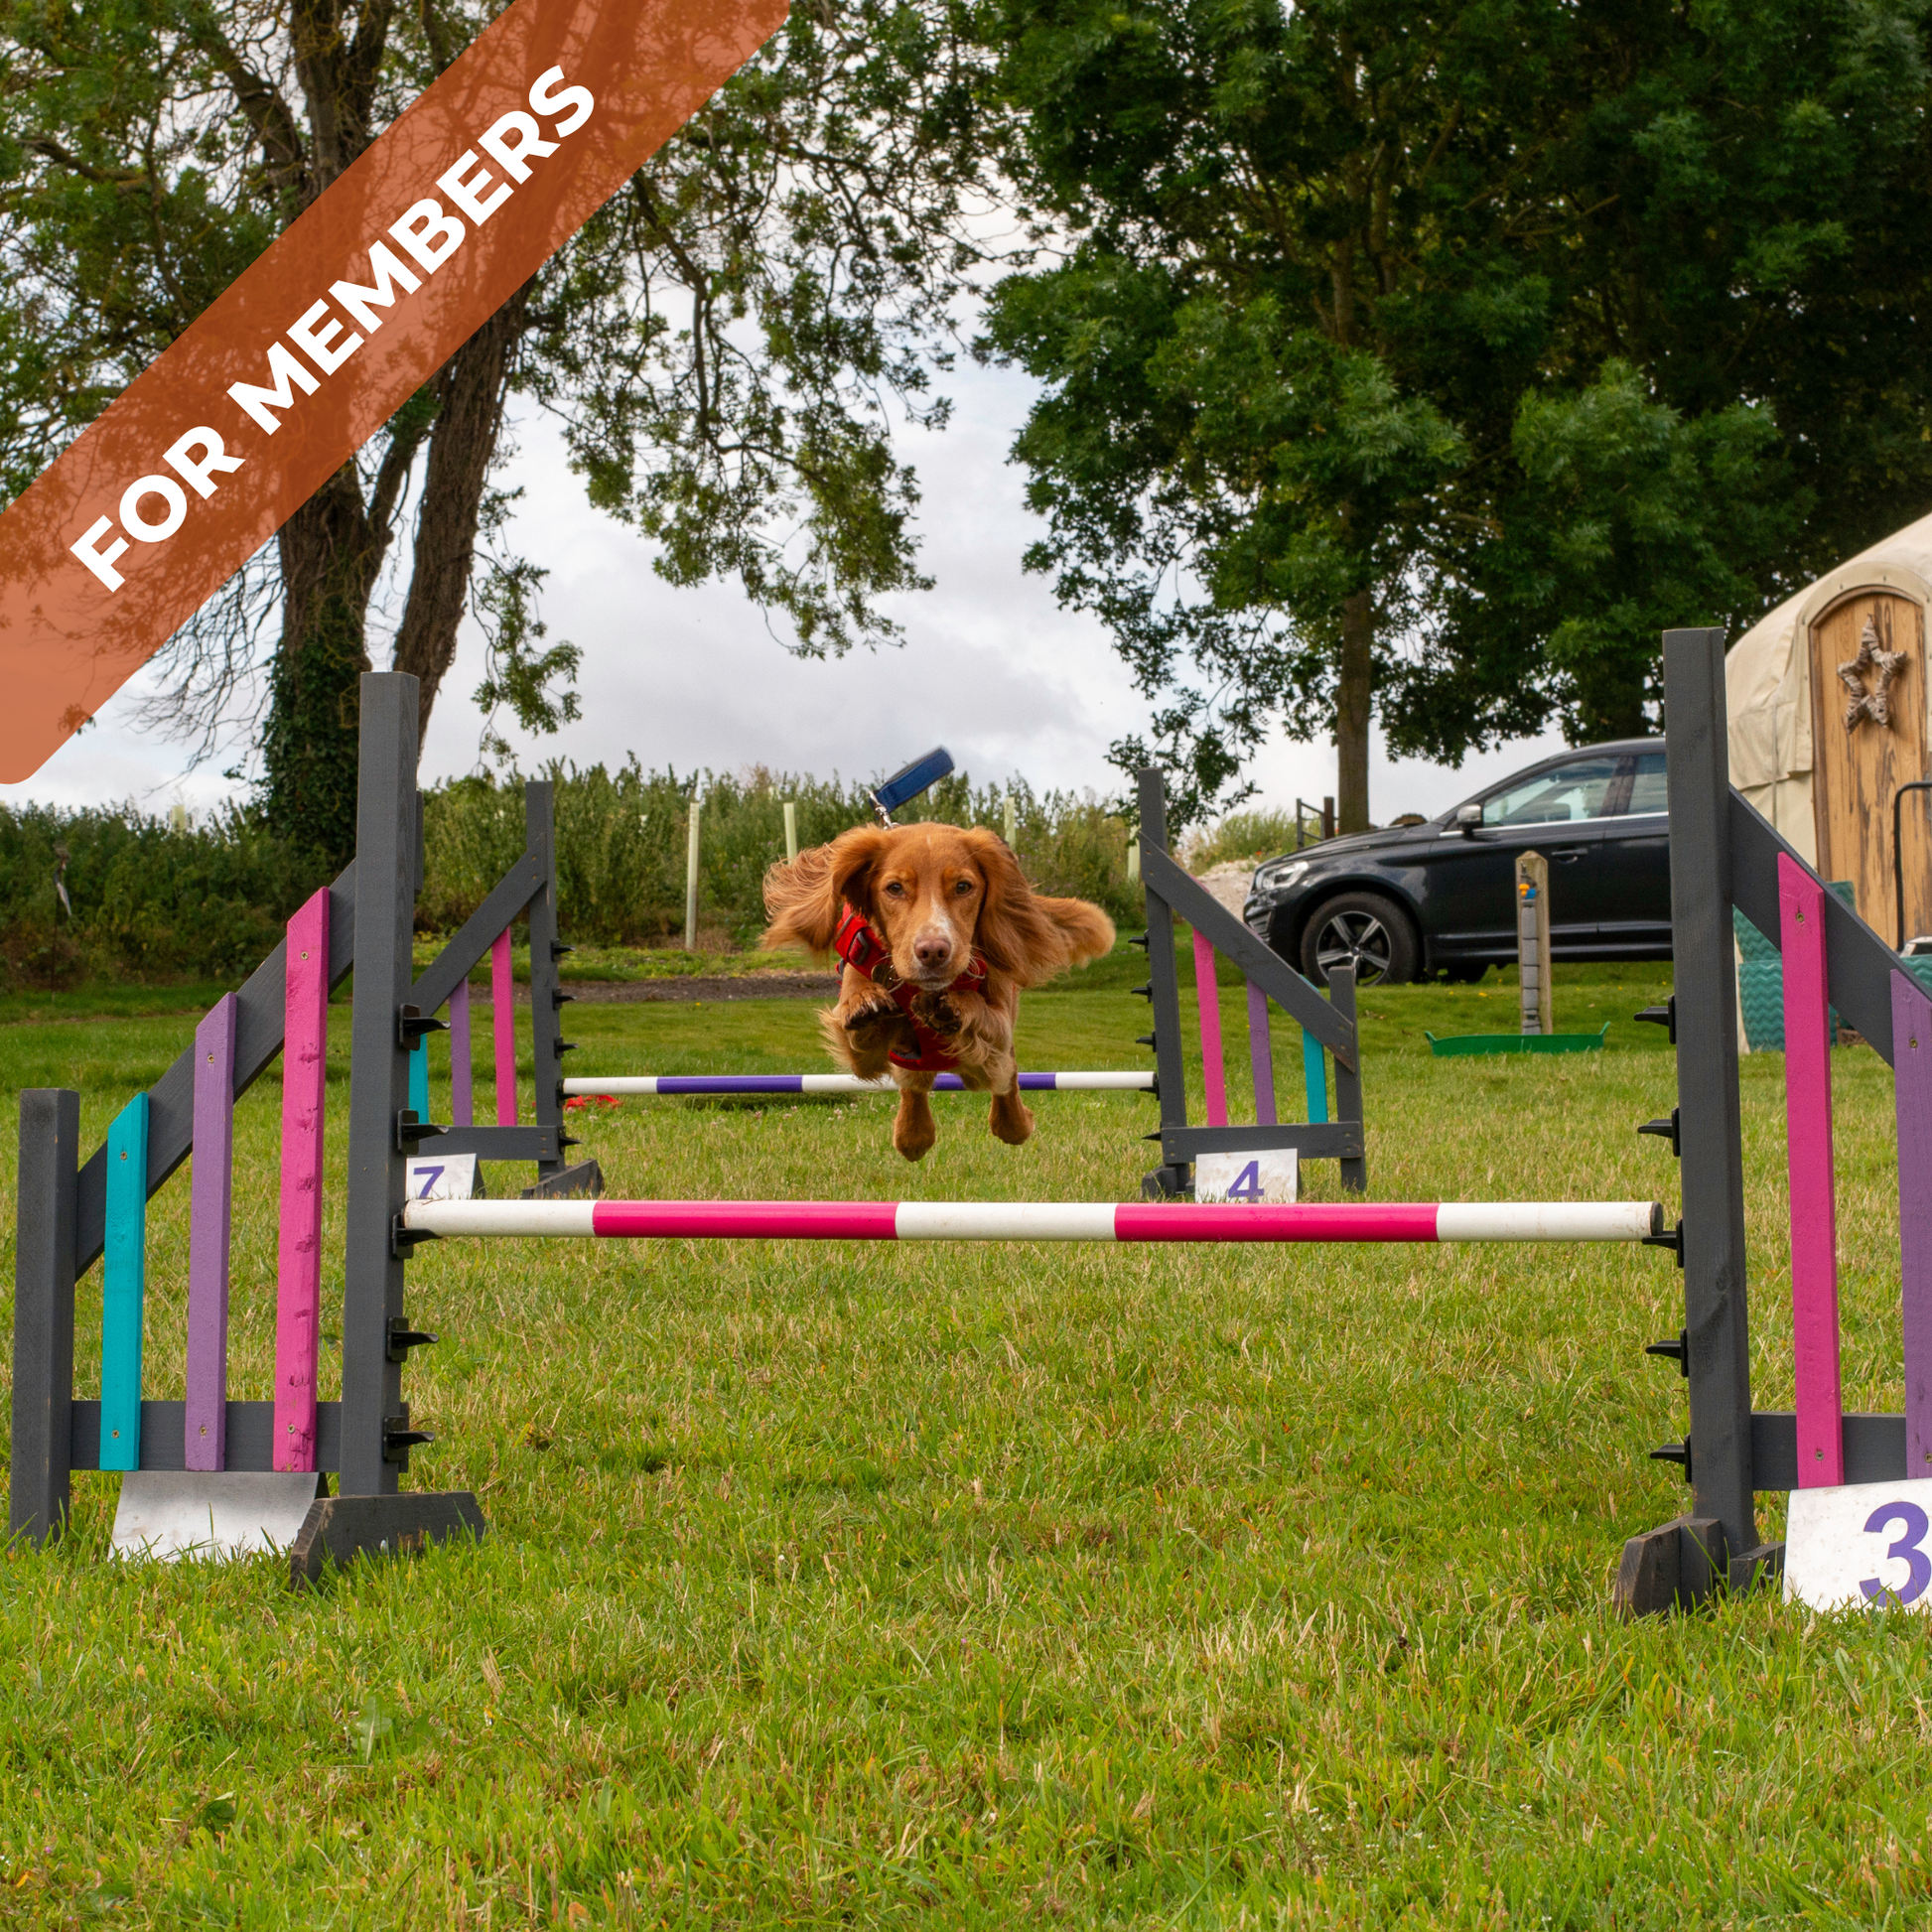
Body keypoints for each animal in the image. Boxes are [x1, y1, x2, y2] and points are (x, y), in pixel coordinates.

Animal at [757, 819, 1112, 1159]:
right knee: (914, 1090)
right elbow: (862, 1023)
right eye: (895, 888)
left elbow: (985, 1026)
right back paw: (913, 1134)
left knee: (1007, 1090)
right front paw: (866, 1003)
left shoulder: (995, 1035)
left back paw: (1012, 1120)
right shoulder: (865, 1057)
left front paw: (954, 1006)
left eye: (963, 887)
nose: (932, 951)